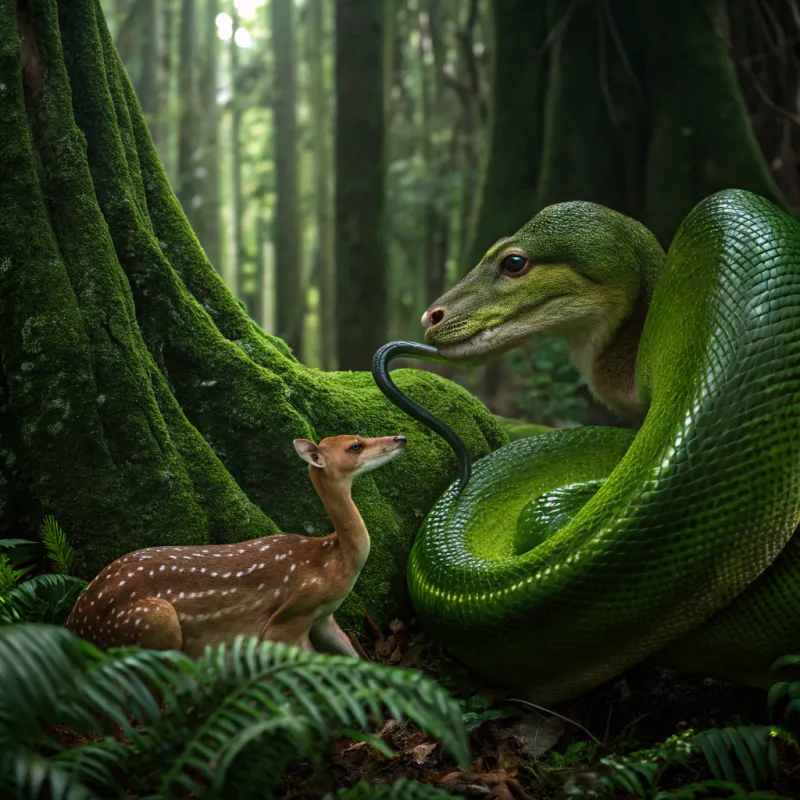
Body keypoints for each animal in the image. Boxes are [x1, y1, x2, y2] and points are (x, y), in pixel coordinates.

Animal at [66, 434, 407, 658]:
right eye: (355, 445)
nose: (400, 437)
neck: (332, 563)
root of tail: (73, 626)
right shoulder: (290, 616)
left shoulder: (323, 616)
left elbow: (351, 653)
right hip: (150, 621)